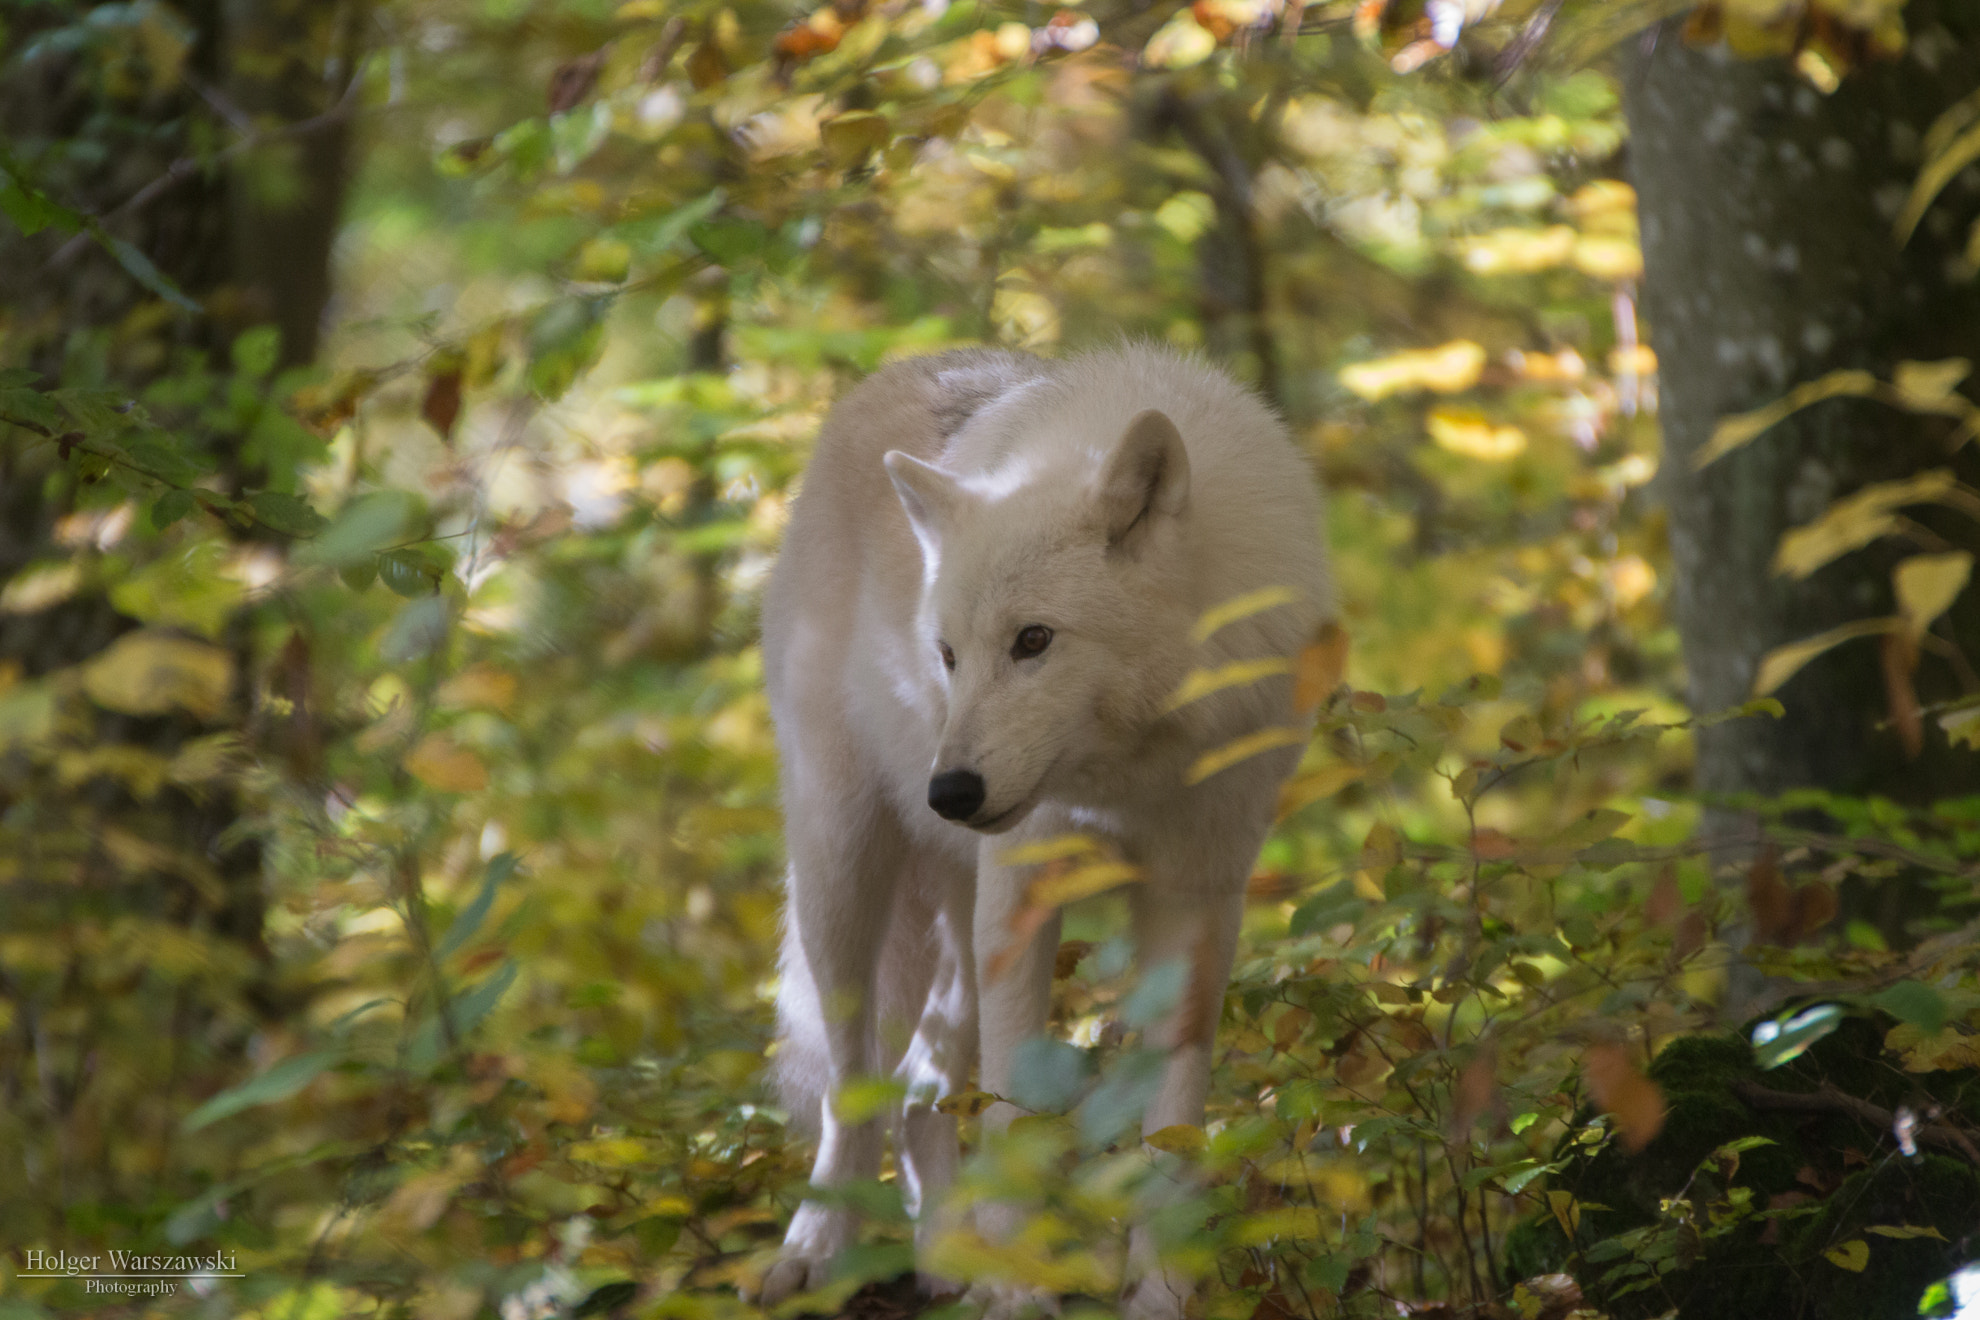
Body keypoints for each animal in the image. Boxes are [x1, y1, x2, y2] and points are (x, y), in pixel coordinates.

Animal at [752, 343, 1331, 1317]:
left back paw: (947, 1255)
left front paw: (1162, 1292)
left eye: (1034, 640)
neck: (1135, 766)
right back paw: (816, 1250)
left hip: (954, 919)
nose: (949, 791)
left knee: (920, 1083)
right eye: (949, 656)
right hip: (845, 873)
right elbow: (1014, 1110)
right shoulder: (1022, 897)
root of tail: (893, 373)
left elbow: (1174, 1114)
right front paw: (1022, 1290)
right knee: (853, 1085)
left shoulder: (1199, 893)